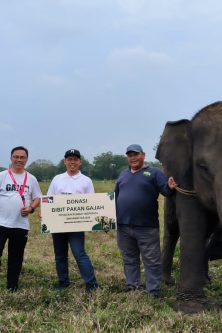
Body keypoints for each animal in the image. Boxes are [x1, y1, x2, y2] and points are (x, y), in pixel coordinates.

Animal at [155, 100, 222, 312]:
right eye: (203, 167)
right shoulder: (184, 176)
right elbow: (192, 222)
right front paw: (191, 309)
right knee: (172, 227)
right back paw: (165, 281)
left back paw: (206, 281)